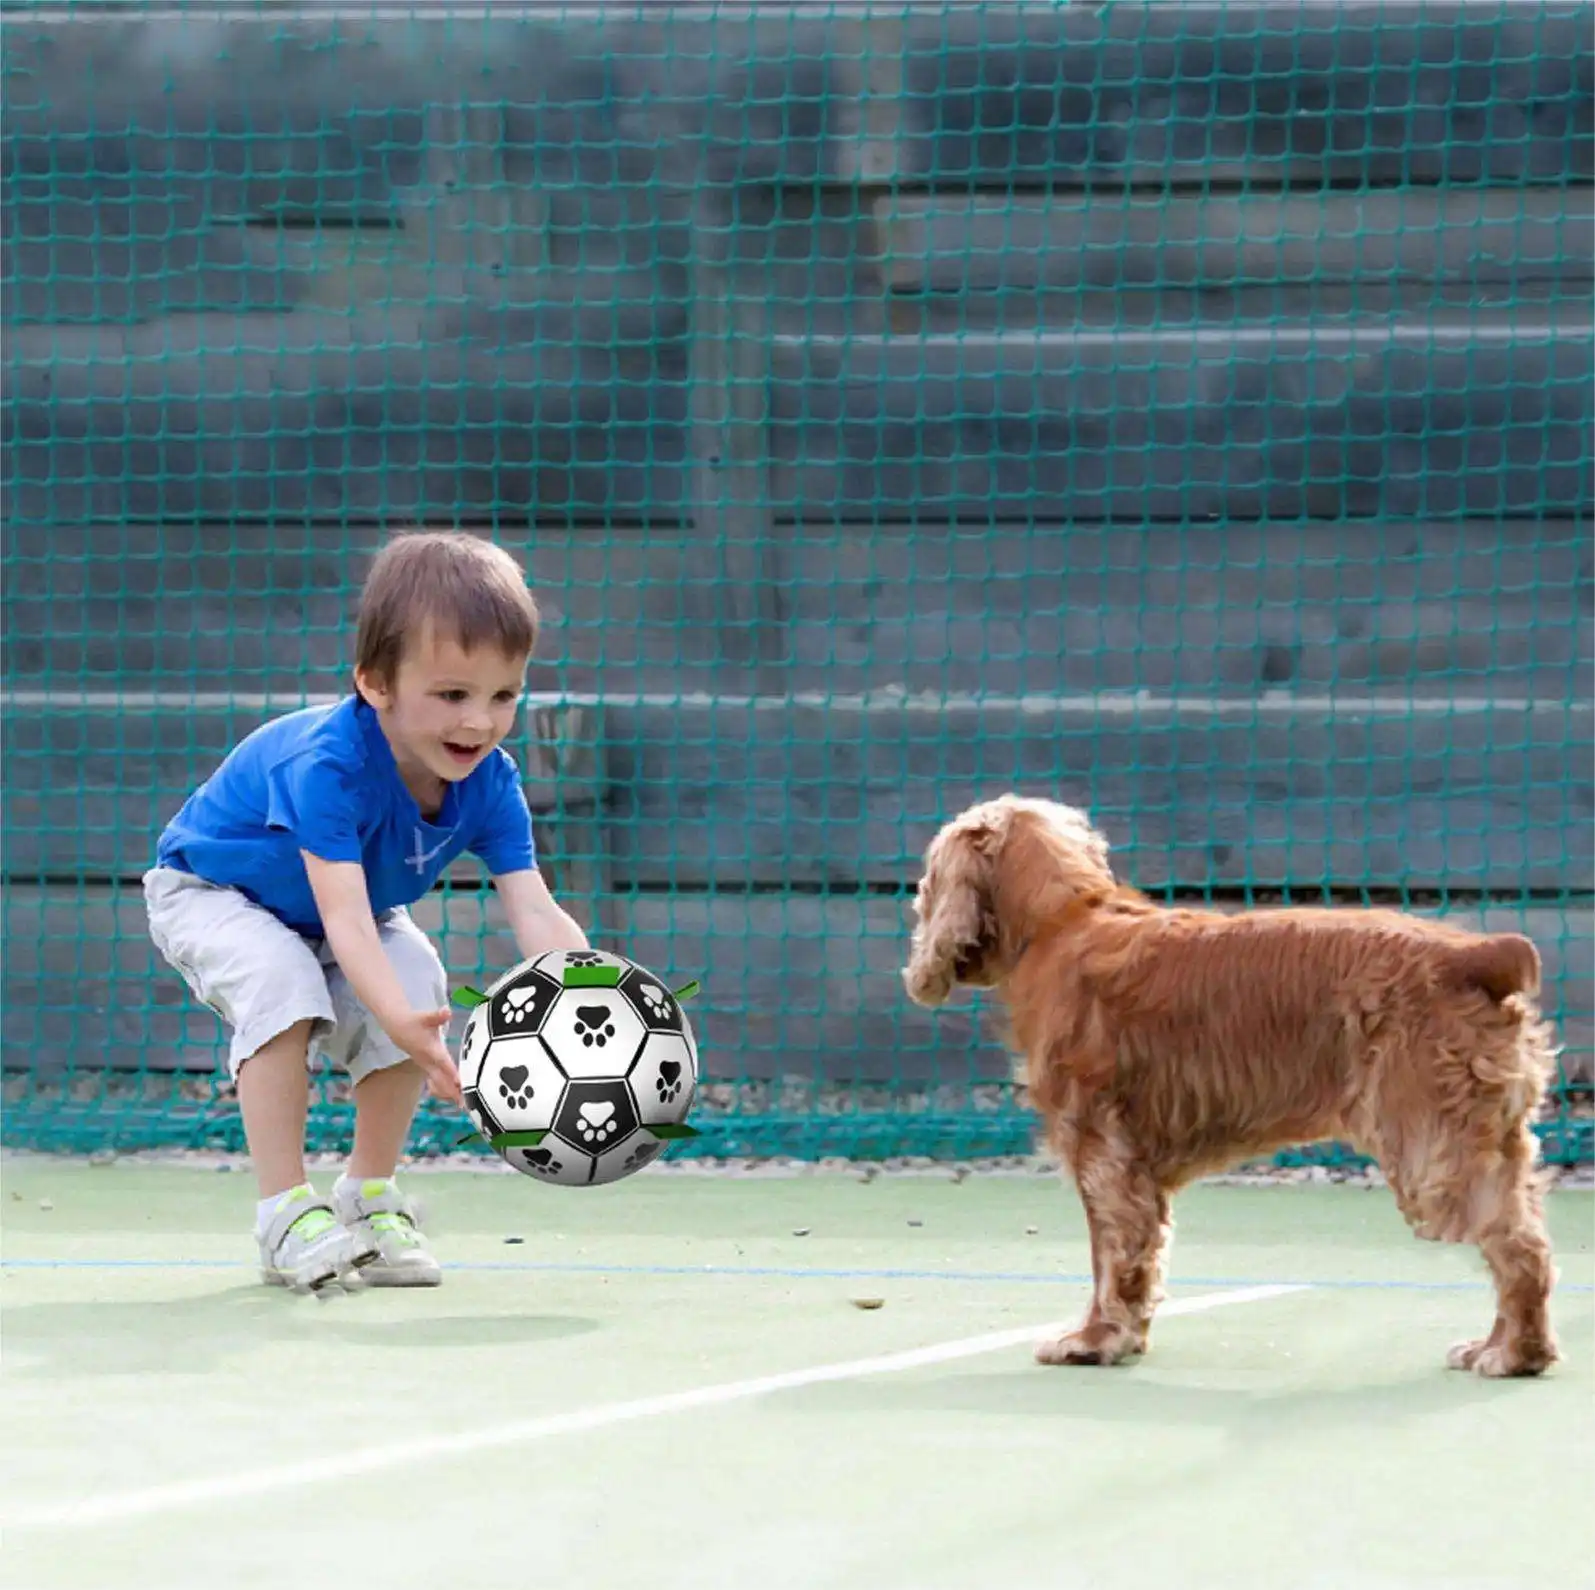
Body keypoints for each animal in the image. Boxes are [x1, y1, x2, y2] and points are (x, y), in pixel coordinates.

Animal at [905, 794, 1563, 1377]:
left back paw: (1513, 1356)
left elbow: (1108, 1258)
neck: (1065, 920)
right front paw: (1125, 1338)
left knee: (1516, 1249)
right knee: (1526, 1236)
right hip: (1491, 1138)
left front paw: (1092, 1341)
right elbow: (1137, 1262)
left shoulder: (1101, 1155)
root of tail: (1476, 955)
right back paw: (1499, 1347)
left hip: (1432, 1148)